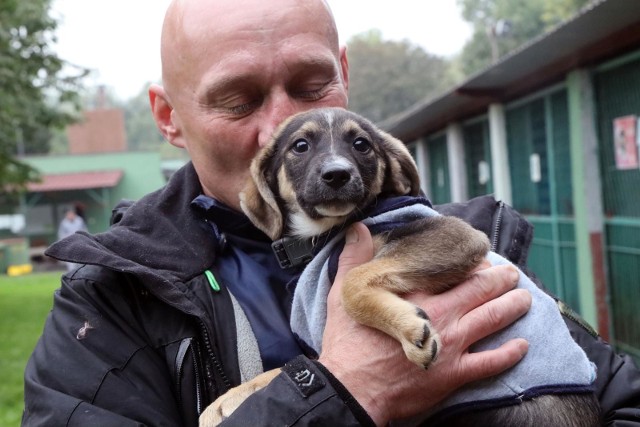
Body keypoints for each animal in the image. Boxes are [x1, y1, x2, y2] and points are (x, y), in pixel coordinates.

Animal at [200, 108, 600, 427]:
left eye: (361, 144)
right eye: (300, 146)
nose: (337, 175)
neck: (323, 235)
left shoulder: (456, 236)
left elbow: (352, 283)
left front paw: (409, 328)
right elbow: (290, 367)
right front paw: (225, 401)